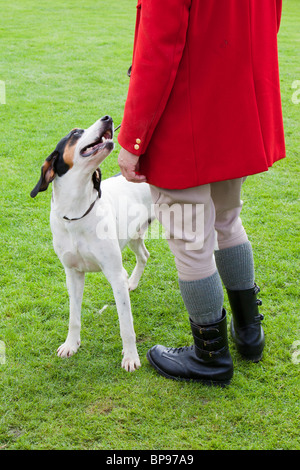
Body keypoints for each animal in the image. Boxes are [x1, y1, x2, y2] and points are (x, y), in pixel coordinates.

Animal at [29, 116, 155, 370]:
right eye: (75, 133)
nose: (108, 118)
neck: (75, 212)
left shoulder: (115, 274)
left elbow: (126, 325)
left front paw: (130, 357)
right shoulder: (73, 274)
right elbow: (73, 317)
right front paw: (71, 345)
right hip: (133, 235)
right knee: (144, 255)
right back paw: (133, 282)